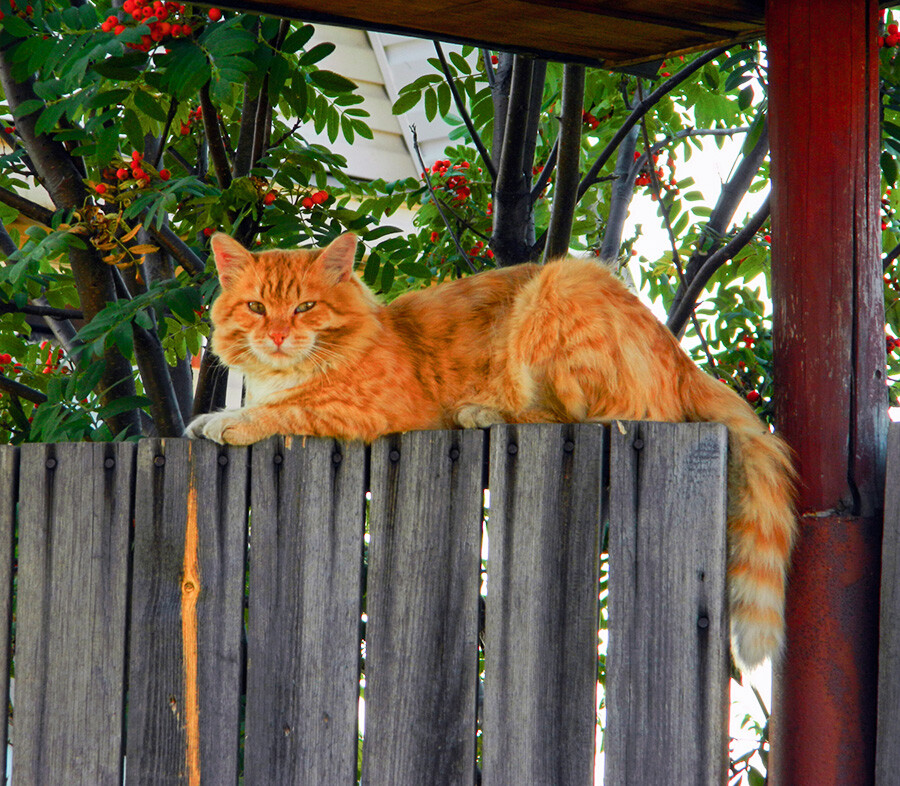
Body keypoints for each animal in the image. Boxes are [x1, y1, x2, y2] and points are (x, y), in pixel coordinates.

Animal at [188, 230, 796, 664]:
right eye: (257, 308)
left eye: (305, 308)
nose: (277, 337)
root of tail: (681, 356)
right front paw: (219, 415)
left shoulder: (374, 411)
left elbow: (290, 408)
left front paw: (230, 420)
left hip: (557, 291)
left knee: (570, 414)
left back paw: (482, 411)